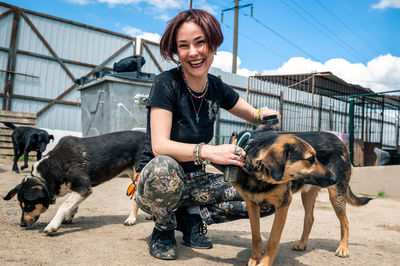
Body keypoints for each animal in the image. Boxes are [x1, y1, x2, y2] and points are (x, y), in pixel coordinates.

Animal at [231, 131, 338, 266]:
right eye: (310, 159)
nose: (334, 178)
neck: (260, 179)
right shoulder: (252, 204)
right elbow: (255, 235)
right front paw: (256, 257)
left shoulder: (283, 205)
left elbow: (273, 240)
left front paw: (265, 262)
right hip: (307, 194)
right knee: (309, 218)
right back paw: (302, 243)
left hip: (336, 195)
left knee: (345, 222)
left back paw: (343, 248)